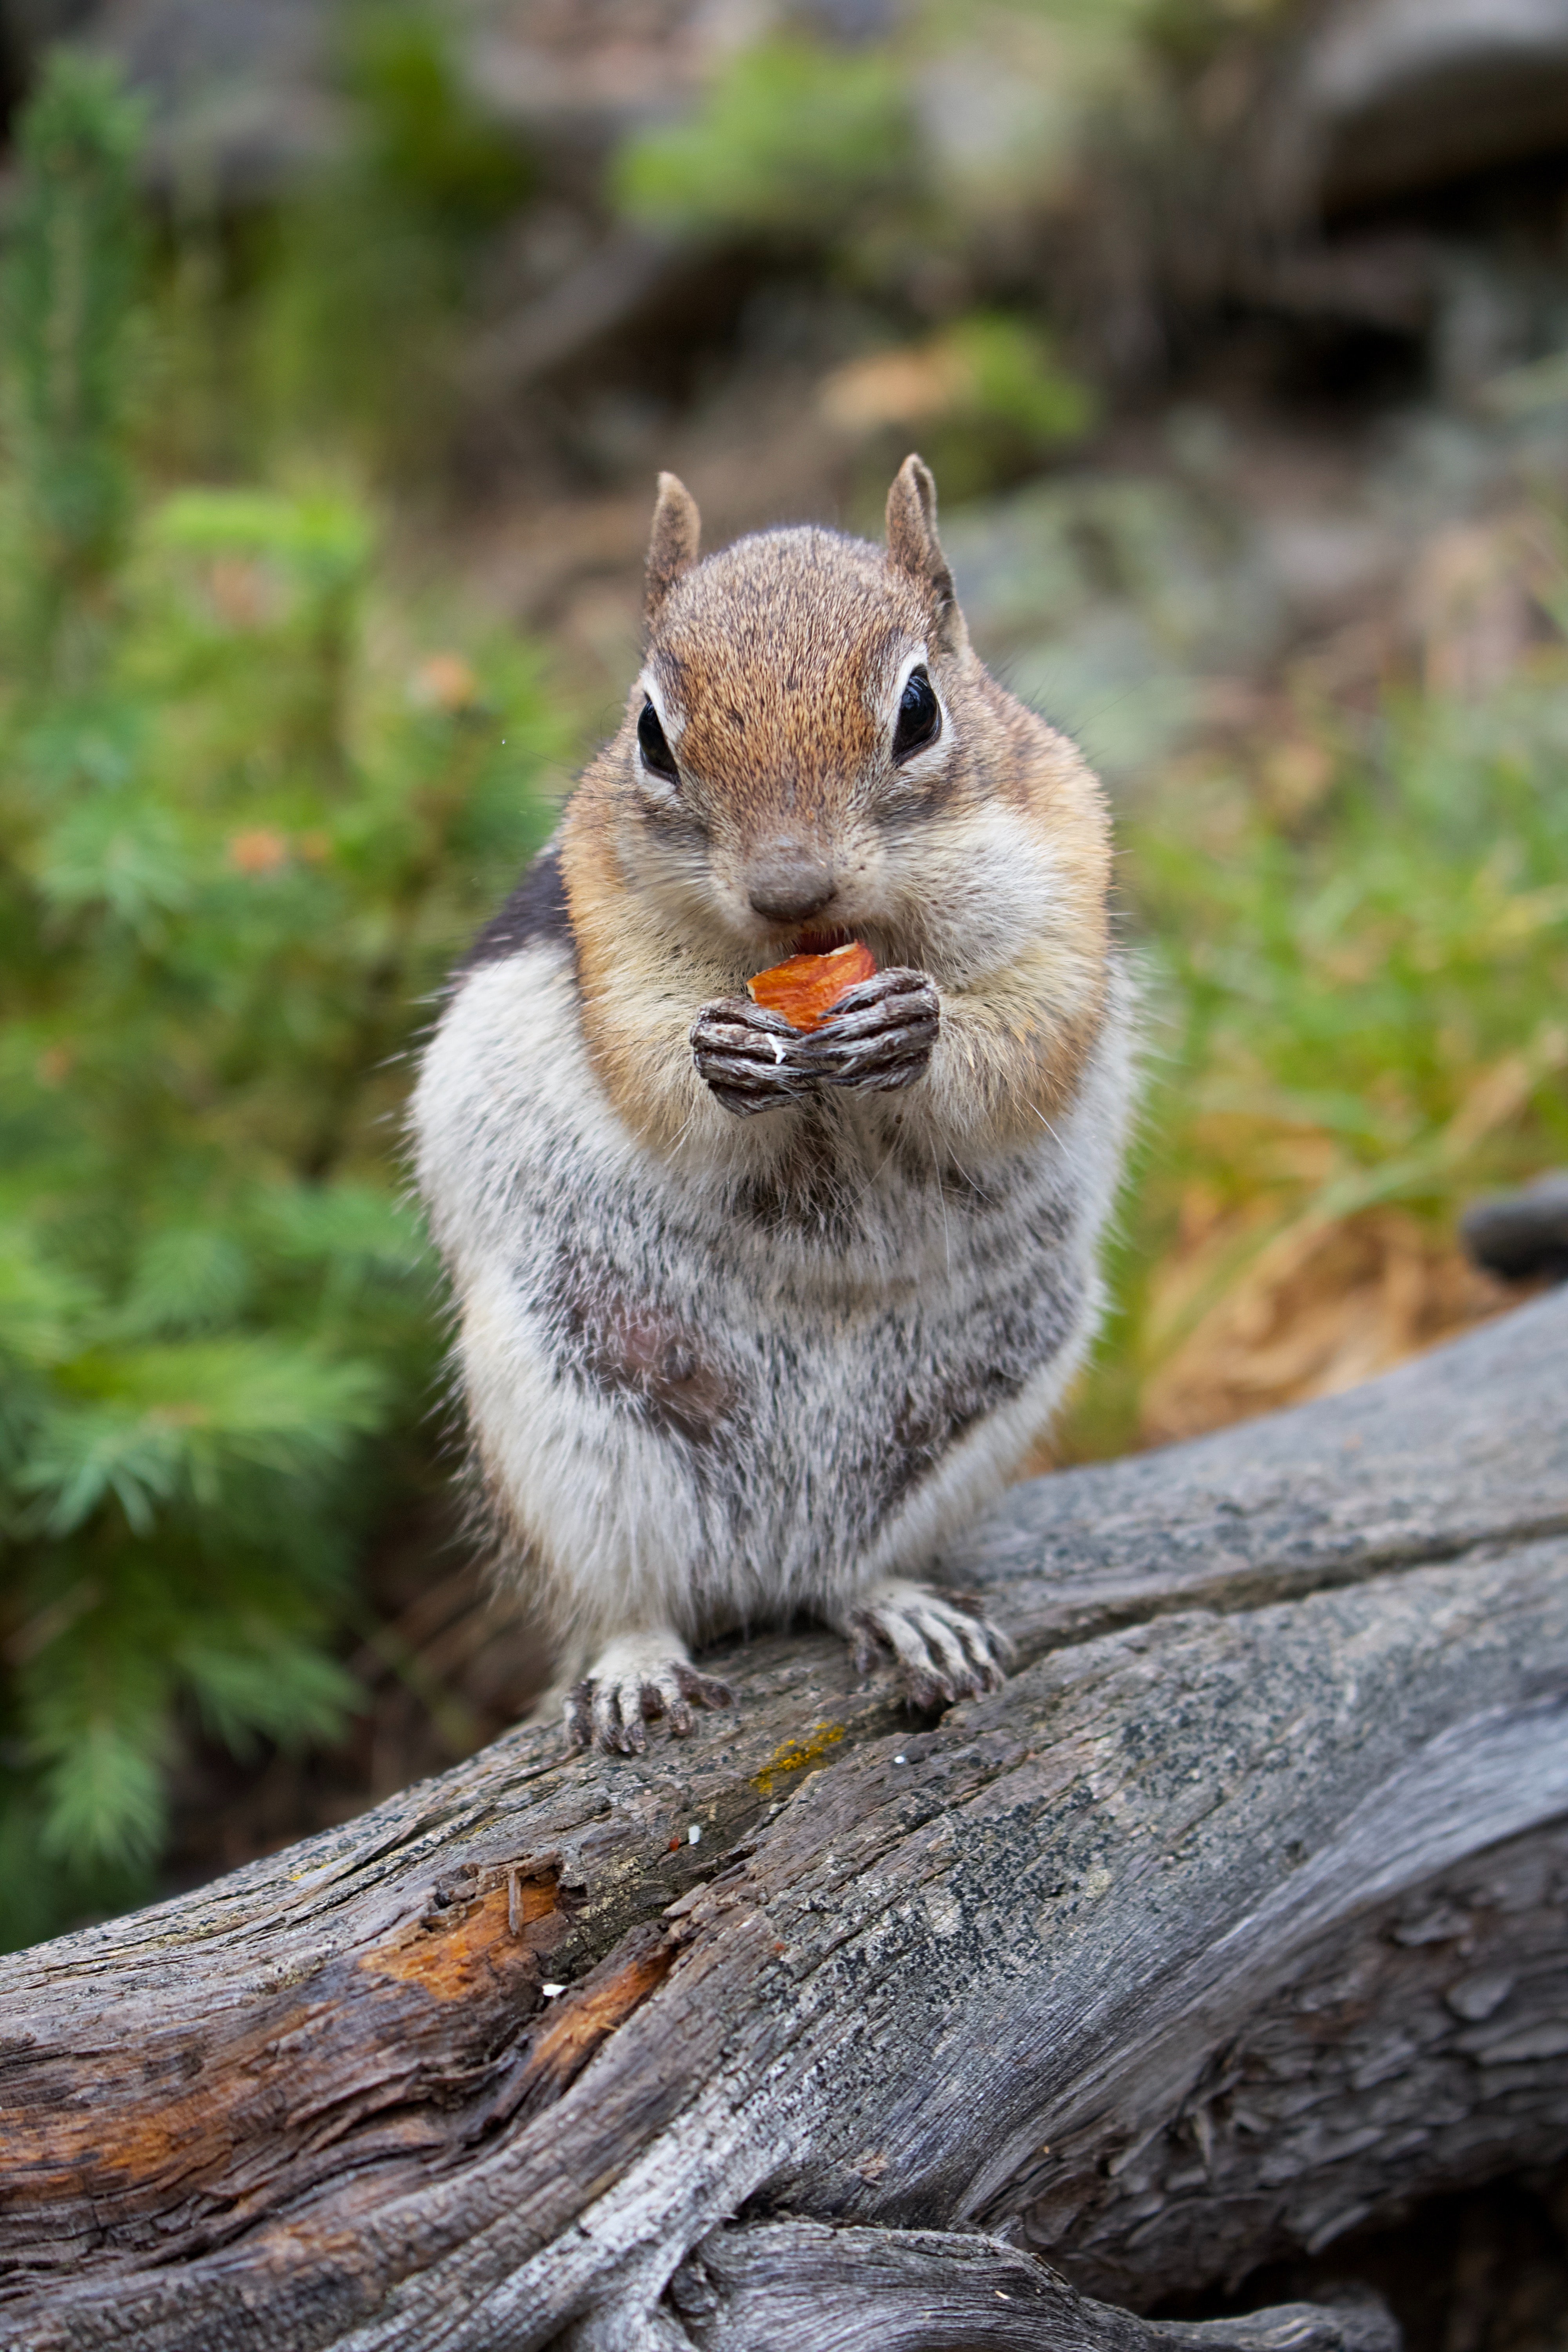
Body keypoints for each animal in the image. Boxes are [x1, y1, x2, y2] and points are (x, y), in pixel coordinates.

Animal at [414, 459, 1128, 1750]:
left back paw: (905, 1615)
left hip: (982, 1394)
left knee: (848, 1570)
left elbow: (1030, 1033)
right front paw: (725, 1056)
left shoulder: (1060, 873)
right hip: (566, 1416)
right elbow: (644, 1059)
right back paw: (638, 1668)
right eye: (651, 735)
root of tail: (762, 1562)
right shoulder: (607, 925)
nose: (790, 886)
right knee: (630, 1594)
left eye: (918, 710)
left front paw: (915, 1030)